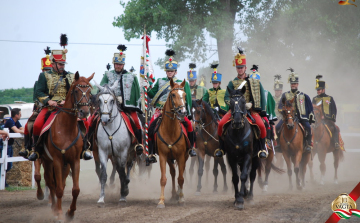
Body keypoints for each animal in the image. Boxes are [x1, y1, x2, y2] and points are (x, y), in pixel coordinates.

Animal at [41, 72, 94, 220]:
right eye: (76, 91)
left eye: (89, 91)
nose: (84, 112)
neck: (66, 129)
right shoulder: (57, 160)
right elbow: (58, 189)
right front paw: (59, 213)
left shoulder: (74, 161)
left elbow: (75, 189)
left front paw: (70, 213)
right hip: (47, 161)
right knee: (51, 183)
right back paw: (54, 208)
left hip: (65, 165)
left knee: (61, 183)